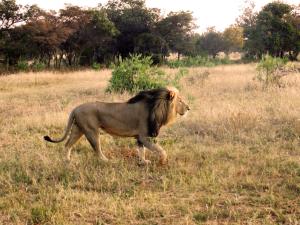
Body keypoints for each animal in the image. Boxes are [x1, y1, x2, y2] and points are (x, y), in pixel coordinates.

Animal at [43, 87, 190, 164]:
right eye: (180, 100)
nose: (189, 108)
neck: (156, 106)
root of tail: (75, 108)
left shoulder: (139, 137)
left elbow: (141, 151)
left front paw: (143, 162)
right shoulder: (144, 136)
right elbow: (159, 149)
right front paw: (163, 160)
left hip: (77, 129)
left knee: (67, 145)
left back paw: (67, 161)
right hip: (91, 131)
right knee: (97, 150)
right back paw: (106, 161)